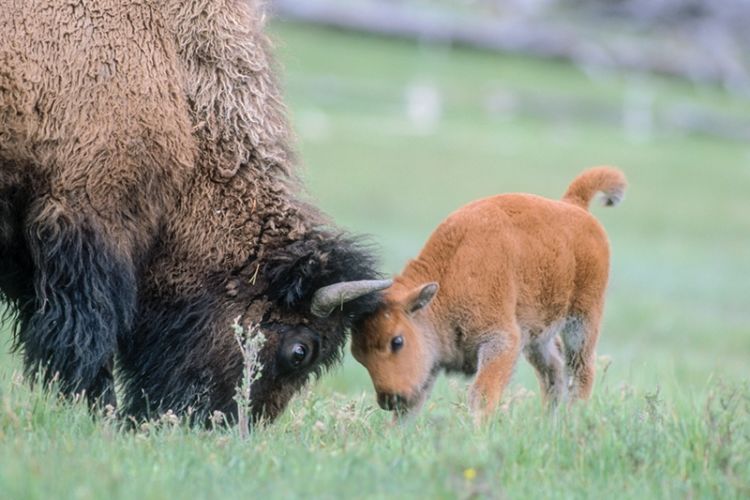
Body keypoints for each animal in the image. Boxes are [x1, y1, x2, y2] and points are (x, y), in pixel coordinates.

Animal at [352, 167, 628, 422]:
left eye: (397, 341)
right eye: (357, 355)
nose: (390, 400)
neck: (448, 276)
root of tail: (574, 206)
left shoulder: (501, 340)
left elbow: (481, 394)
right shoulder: (431, 362)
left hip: (582, 320)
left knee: (581, 370)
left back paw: (573, 419)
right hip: (538, 335)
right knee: (554, 371)